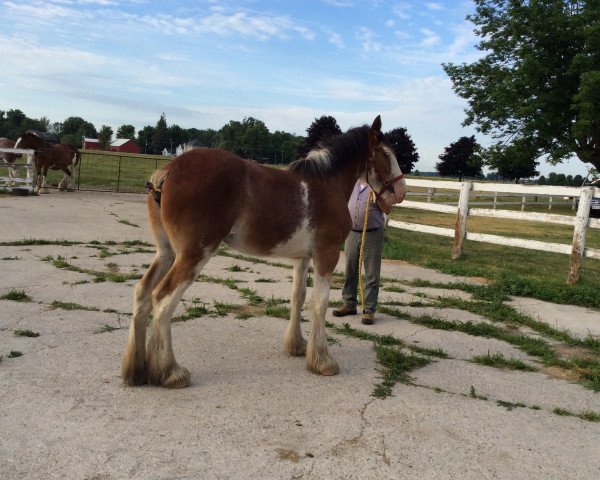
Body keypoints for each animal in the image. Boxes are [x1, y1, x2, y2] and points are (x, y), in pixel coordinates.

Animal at [123, 114, 408, 388]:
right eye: (386, 154)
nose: (401, 191)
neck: (326, 184)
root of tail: (170, 170)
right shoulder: (327, 255)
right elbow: (320, 303)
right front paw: (322, 361)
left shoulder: (302, 258)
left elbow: (298, 297)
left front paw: (297, 346)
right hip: (193, 254)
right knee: (163, 299)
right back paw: (171, 373)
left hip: (167, 252)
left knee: (143, 293)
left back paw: (136, 371)